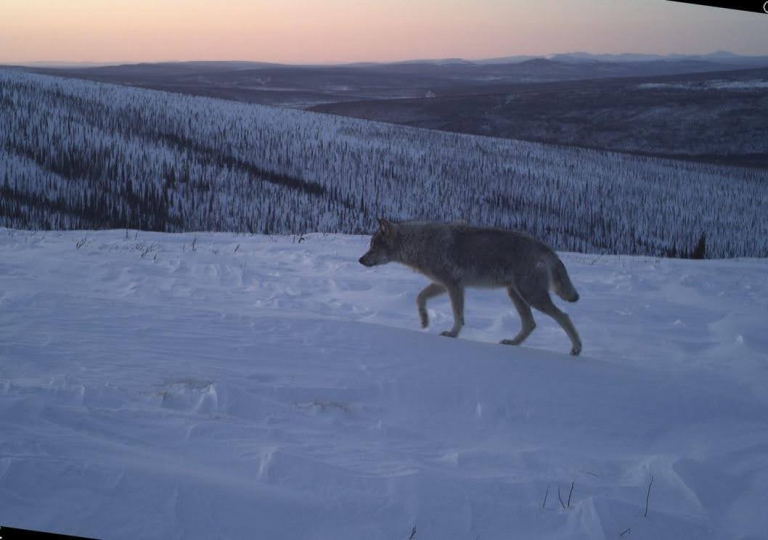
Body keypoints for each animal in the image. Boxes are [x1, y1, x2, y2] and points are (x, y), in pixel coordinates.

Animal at [360, 217, 584, 356]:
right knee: (530, 324)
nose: (360, 260)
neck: (421, 243)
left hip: (531, 296)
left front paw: (452, 334)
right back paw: (511, 343)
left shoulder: (454, 286)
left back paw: (576, 349)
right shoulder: (443, 284)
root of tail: (547, 248)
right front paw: (424, 321)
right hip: (515, 294)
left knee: (563, 316)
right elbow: (419, 297)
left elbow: (458, 316)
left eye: (373, 247)